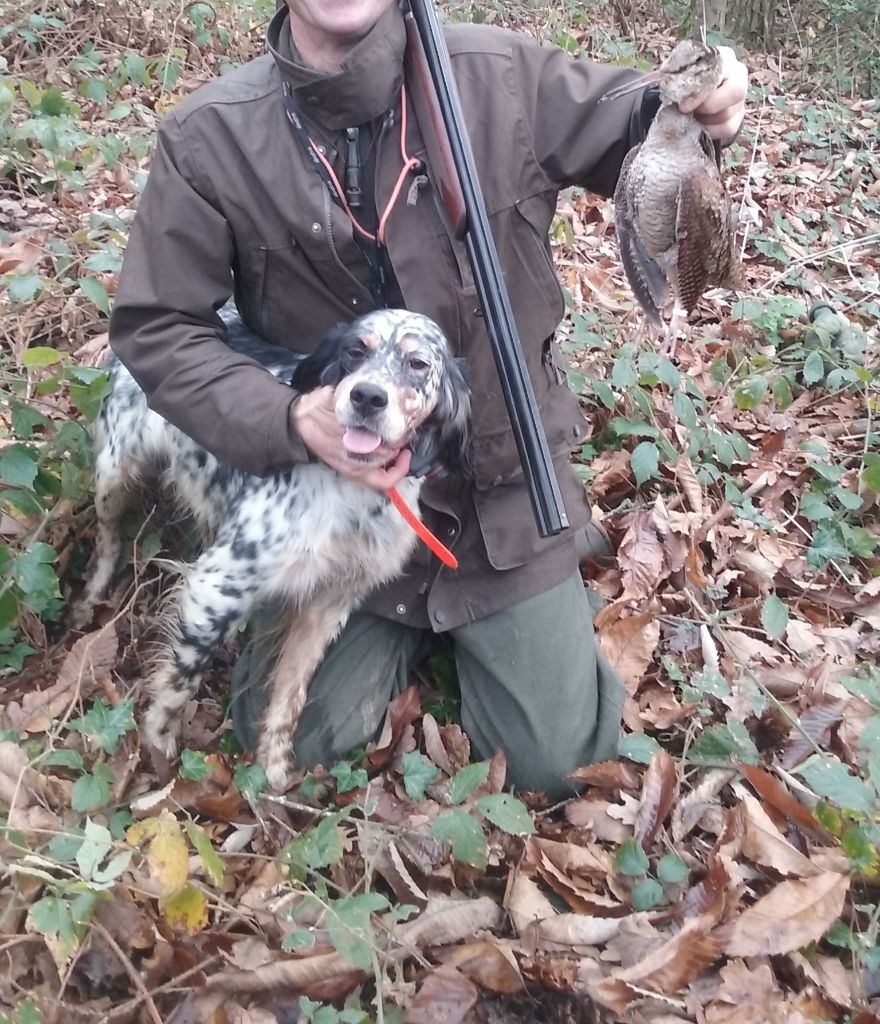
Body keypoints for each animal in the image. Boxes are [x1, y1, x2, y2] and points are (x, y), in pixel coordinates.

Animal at [77, 307, 467, 786]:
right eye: (354, 351)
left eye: (418, 364)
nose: (368, 396)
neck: (353, 487)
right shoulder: (216, 584)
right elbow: (181, 679)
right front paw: (160, 743)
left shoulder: (330, 603)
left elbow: (291, 693)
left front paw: (273, 768)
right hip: (115, 472)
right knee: (108, 536)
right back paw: (92, 597)